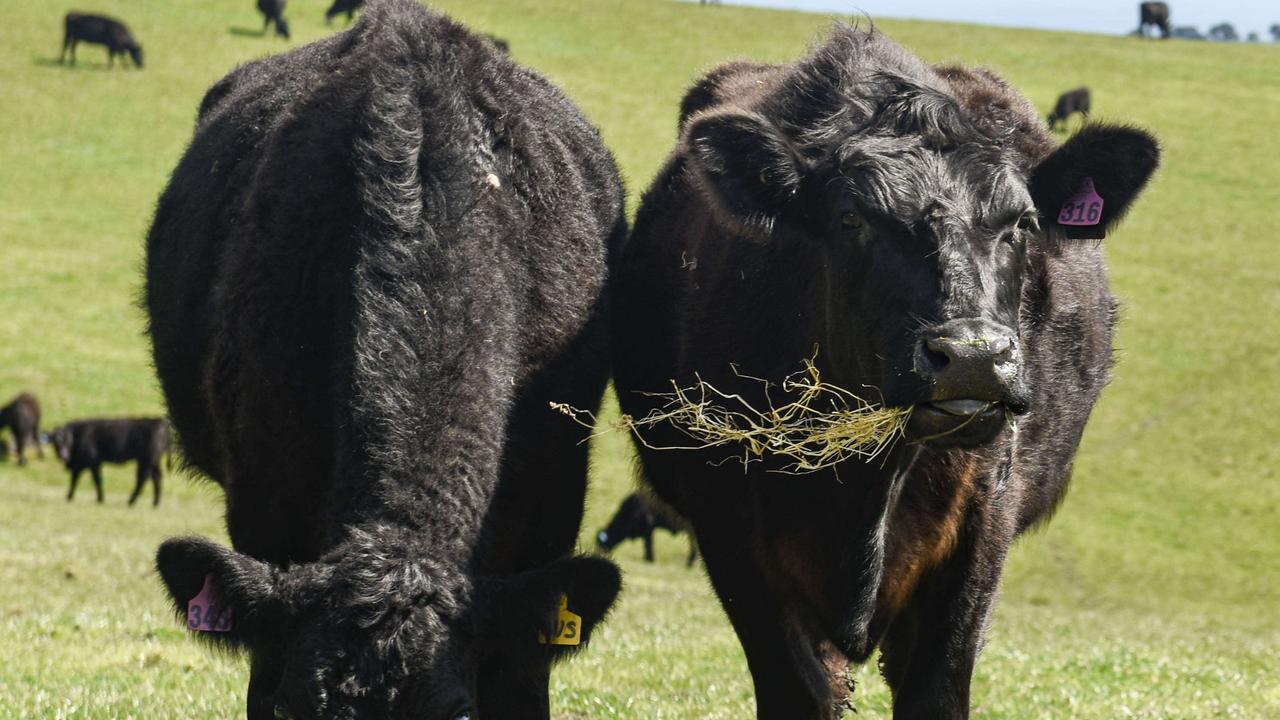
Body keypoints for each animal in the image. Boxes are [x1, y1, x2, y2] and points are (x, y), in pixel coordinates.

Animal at [609, 25, 1162, 712]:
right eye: (852, 219)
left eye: (1023, 223)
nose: (973, 357)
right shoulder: (730, 535)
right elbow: (800, 689)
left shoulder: (981, 530)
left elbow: (937, 687)